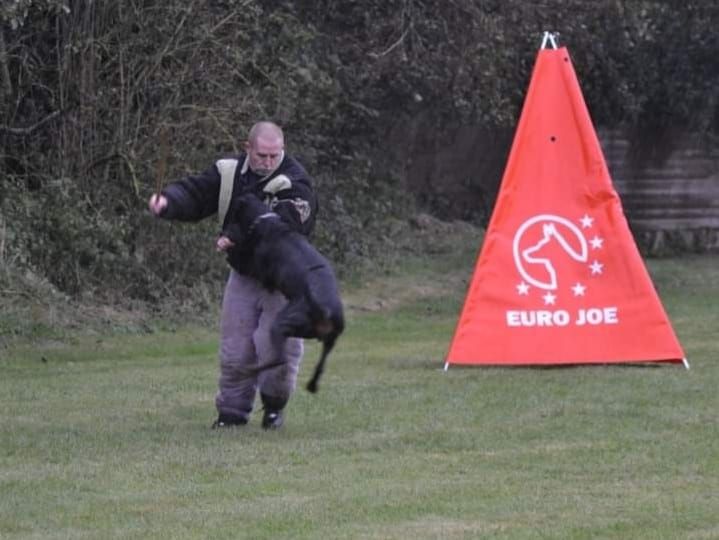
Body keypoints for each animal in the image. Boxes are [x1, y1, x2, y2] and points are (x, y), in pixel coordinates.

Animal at [225, 194, 346, 392]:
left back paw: (255, 369)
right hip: (328, 339)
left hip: (281, 324)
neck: (266, 219)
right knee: (320, 365)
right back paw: (312, 385)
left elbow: (243, 259)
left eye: (233, 213)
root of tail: (326, 309)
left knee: (277, 360)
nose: (224, 233)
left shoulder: (256, 269)